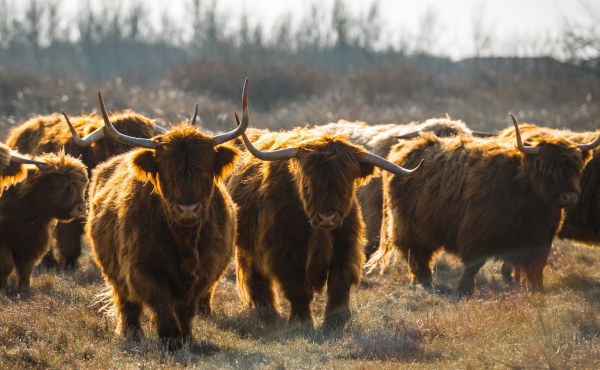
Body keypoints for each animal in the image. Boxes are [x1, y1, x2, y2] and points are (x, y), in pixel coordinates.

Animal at [0, 152, 88, 288]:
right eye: (60, 186)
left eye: (82, 185)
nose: (82, 208)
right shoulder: (4, 242)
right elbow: (6, 264)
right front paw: (4, 285)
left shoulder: (32, 242)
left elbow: (26, 268)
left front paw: (24, 288)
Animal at [84, 82, 246, 348]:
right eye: (167, 171)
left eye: (204, 170)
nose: (187, 209)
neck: (185, 240)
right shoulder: (139, 268)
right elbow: (159, 299)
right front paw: (170, 338)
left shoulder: (206, 270)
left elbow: (187, 307)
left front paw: (186, 337)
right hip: (113, 270)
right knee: (126, 302)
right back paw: (132, 333)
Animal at [227, 117, 424, 328]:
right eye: (308, 182)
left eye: (346, 183)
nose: (327, 218)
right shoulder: (283, 251)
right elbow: (297, 289)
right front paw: (302, 322)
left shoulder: (346, 247)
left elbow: (339, 283)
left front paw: (335, 323)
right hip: (249, 247)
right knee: (257, 277)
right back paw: (267, 312)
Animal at [368, 115, 596, 294]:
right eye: (547, 167)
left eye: (576, 167)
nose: (569, 196)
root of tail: (405, 149)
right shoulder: (476, 231)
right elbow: (473, 264)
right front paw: (464, 291)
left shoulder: (540, 238)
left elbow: (535, 268)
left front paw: (536, 290)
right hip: (406, 223)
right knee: (412, 252)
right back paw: (423, 281)